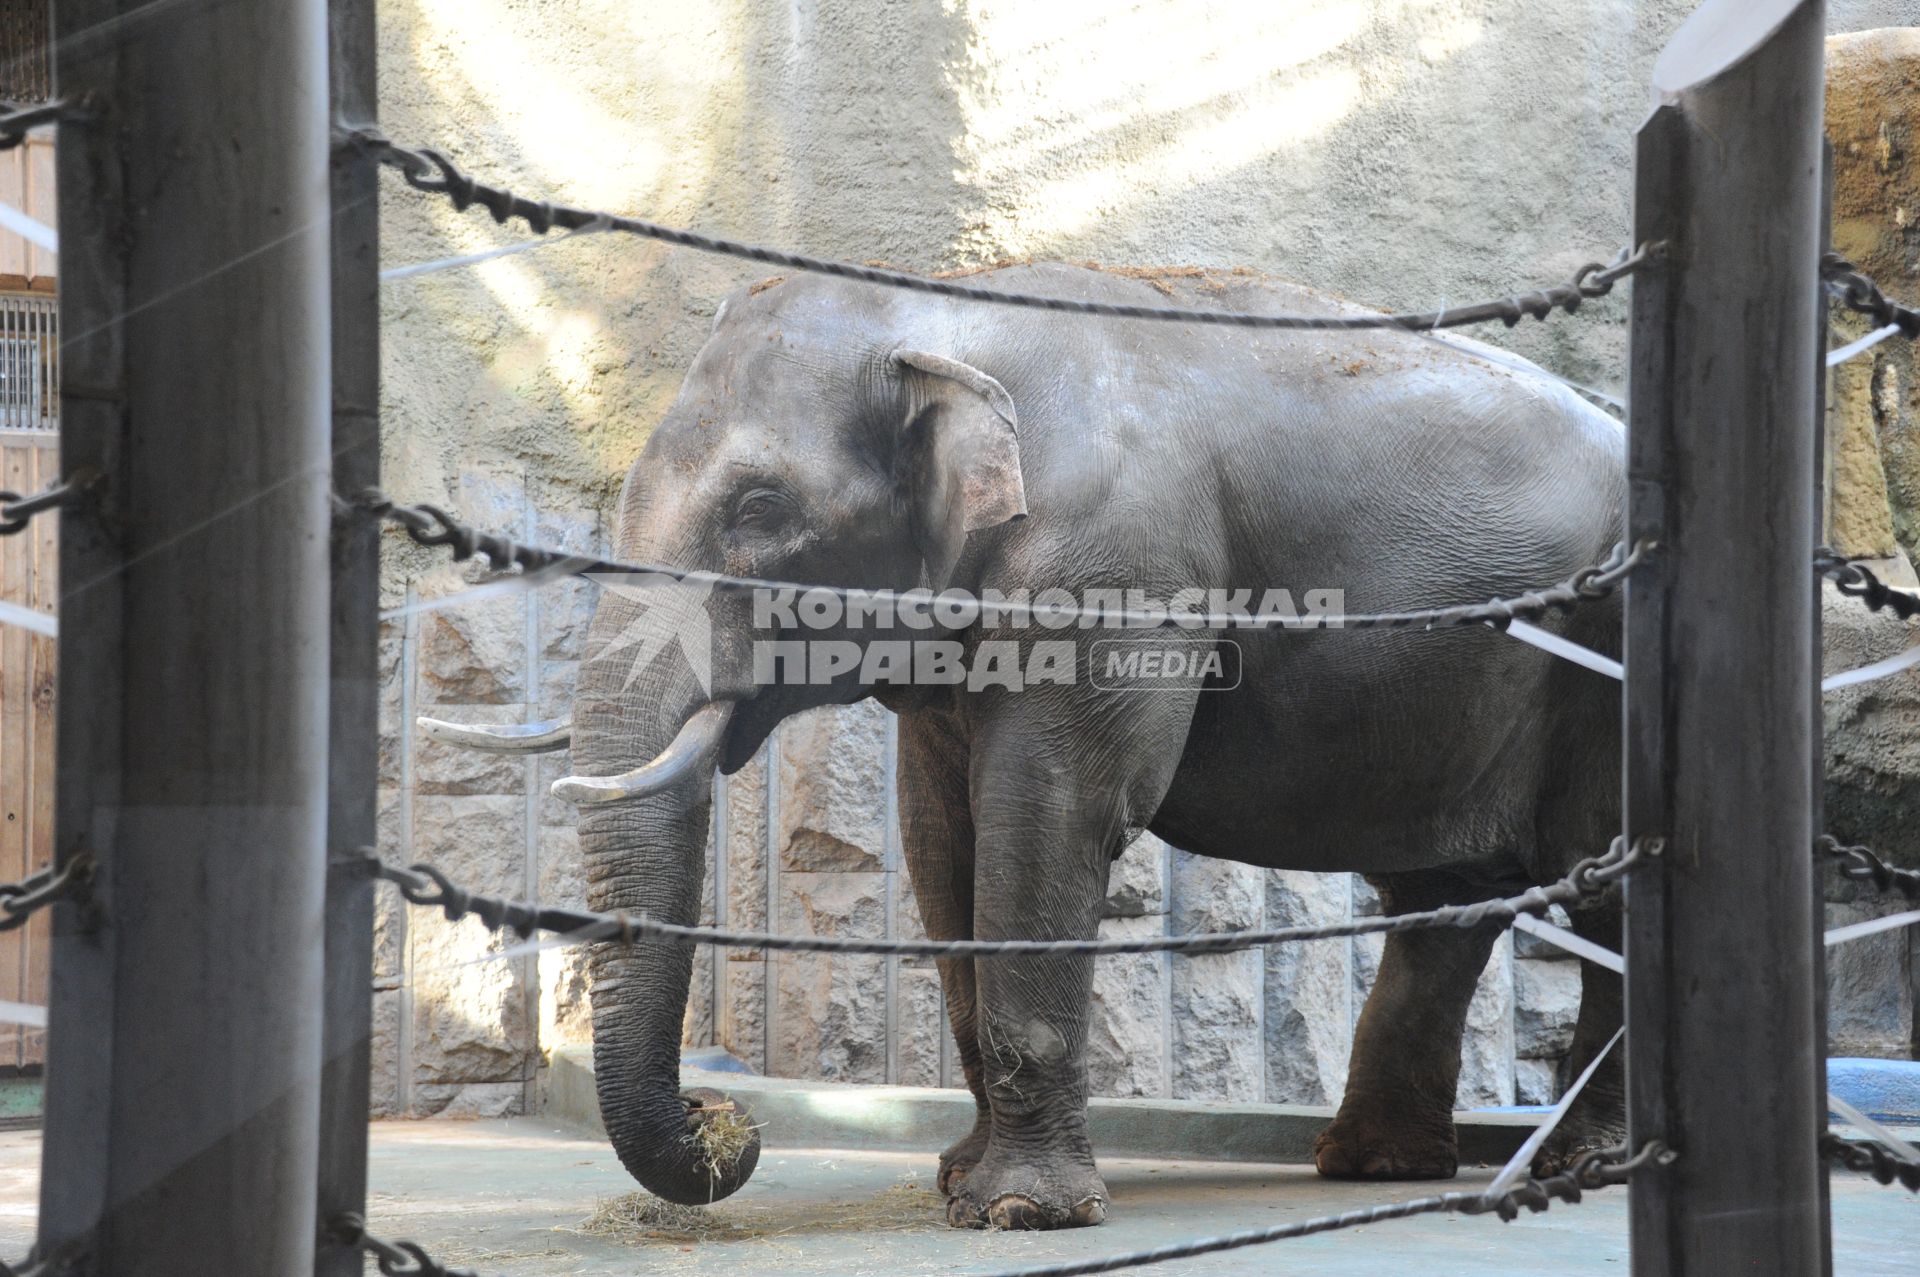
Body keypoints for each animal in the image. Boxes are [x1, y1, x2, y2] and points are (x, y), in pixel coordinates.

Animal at [412, 263, 1628, 1228]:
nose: (728, 1115)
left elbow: (1050, 811)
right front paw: (958, 1180)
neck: (939, 313)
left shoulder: (1111, 577)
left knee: (1597, 878)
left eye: (759, 509)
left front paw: (1020, 1211)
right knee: (1445, 904)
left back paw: (1582, 1162)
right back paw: (1373, 1164)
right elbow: (939, 837)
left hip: (1609, 644)